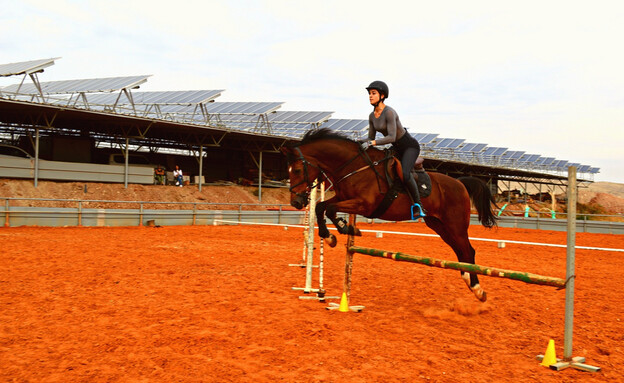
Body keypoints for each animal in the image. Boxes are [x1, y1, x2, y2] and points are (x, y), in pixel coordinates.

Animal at [282, 129, 498, 304]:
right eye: (289, 170)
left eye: (298, 170)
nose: (296, 202)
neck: (354, 167)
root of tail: (460, 183)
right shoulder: (344, 198)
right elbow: (321, 208)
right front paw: (334, 235)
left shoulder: (364, 205)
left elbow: (329, 209)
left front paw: (343, 228)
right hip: (439, 225)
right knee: (461, 251)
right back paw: (469, 281)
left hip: (455, 225)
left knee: (468, 250)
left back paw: (477, 289)